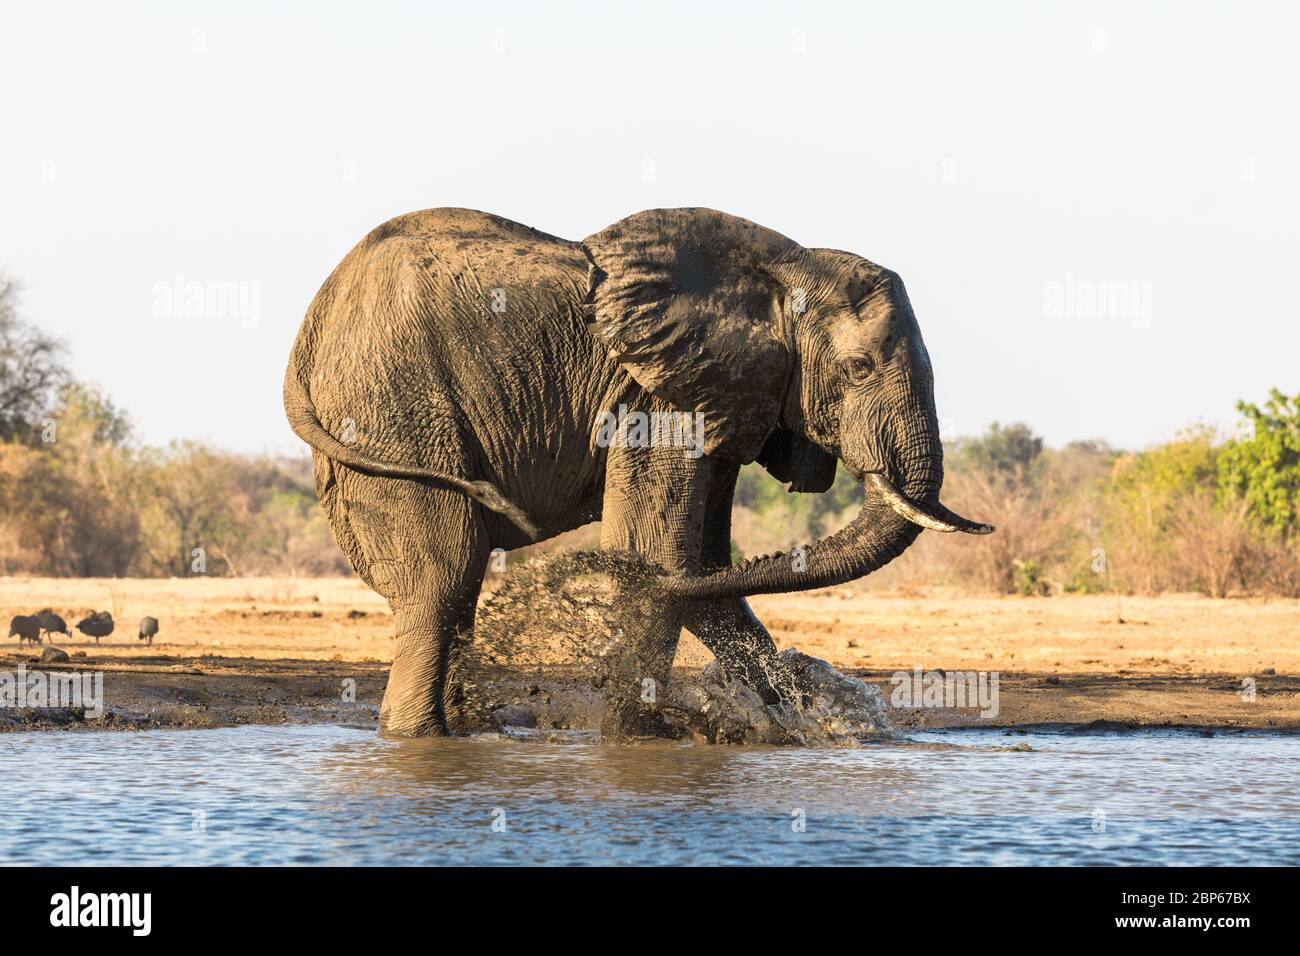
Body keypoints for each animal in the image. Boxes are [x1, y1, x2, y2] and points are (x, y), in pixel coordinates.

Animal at [284, 205, 987, 738]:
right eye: (860, 368)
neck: (784, 267)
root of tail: (306, 338)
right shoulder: (660, 399)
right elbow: (654, 552)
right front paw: (639, 737)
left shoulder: (722, 396)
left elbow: (699, 567)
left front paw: (788, 719)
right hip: (392, 414)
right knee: (445, 577)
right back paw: (421, 739)